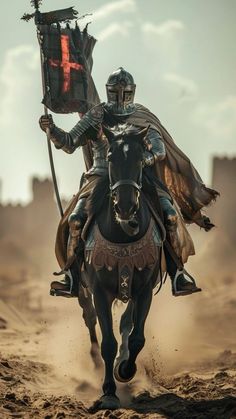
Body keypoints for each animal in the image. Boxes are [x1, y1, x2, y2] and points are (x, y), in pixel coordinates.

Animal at [80, 124, 163, 410]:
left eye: (140, 159)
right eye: (111, 158)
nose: (125, 208)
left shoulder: (144, 290)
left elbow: (137, 336)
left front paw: (125, 369)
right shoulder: (99, 291)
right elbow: (108, 341)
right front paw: (108, 392)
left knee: (127, 324)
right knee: (90, 319)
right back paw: (94, 361)